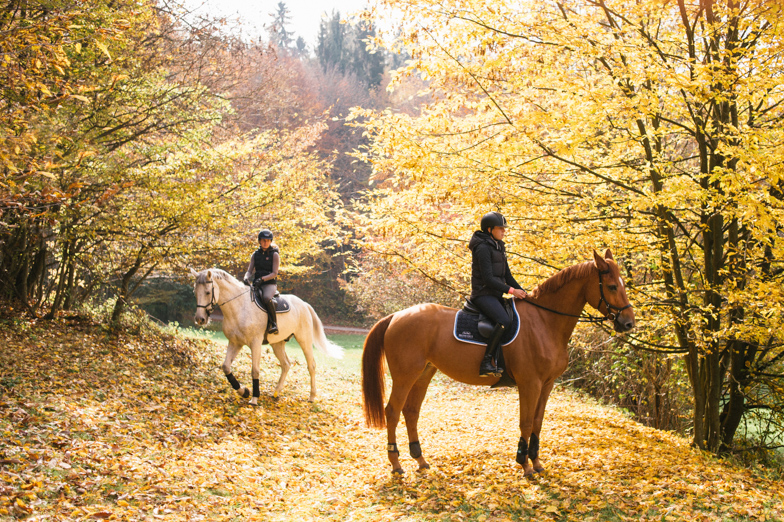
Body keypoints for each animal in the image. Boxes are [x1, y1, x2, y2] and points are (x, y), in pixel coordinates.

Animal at [191, 268, 344, 402]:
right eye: (195, 292)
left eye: (207, 292)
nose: (200, 319)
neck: (239, 307)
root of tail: (304, 304)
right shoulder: (235, 343)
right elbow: (226, 367)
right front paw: (244, 391)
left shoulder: (255, 344)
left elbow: (255, 370)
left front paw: (254, 398)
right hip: (277, 343)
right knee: (286, 364)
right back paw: (276, 392)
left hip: (304, 340)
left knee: (311, 365)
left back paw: (311, 397)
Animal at [360, 250, 632, 474]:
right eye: (611, 286)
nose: (629, 323)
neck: (545, 322)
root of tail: (396, 316)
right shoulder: (530, 384)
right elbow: (526, 422)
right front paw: (524, 464)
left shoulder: (547, 385)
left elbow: (538, 421)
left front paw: (536, 462)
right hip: (405, 375)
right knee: (392, 412)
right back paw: (396, 464)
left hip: (424, 373)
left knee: (411, 411)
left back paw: (420, 459)